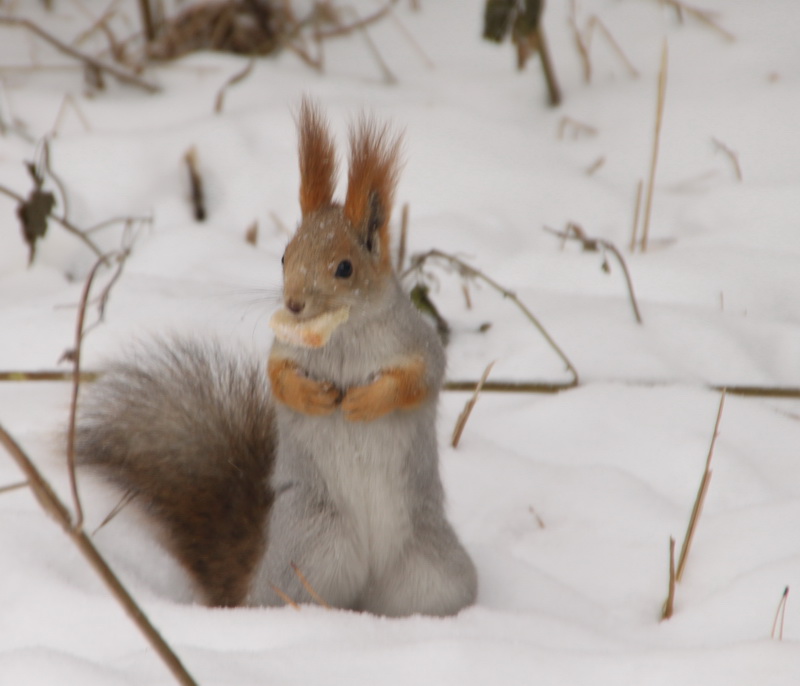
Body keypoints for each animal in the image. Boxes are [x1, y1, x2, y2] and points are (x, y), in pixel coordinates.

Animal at [75, 101, 476, 620]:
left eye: (344, 268)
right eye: (284, 256)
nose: (294, 304)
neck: (342, 333)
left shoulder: (417, 343)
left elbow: (419, 379)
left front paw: (366, 401)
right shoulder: (285, 348)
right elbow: (278, 377)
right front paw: (312, 396)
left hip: (432, 569)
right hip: (312, 543)